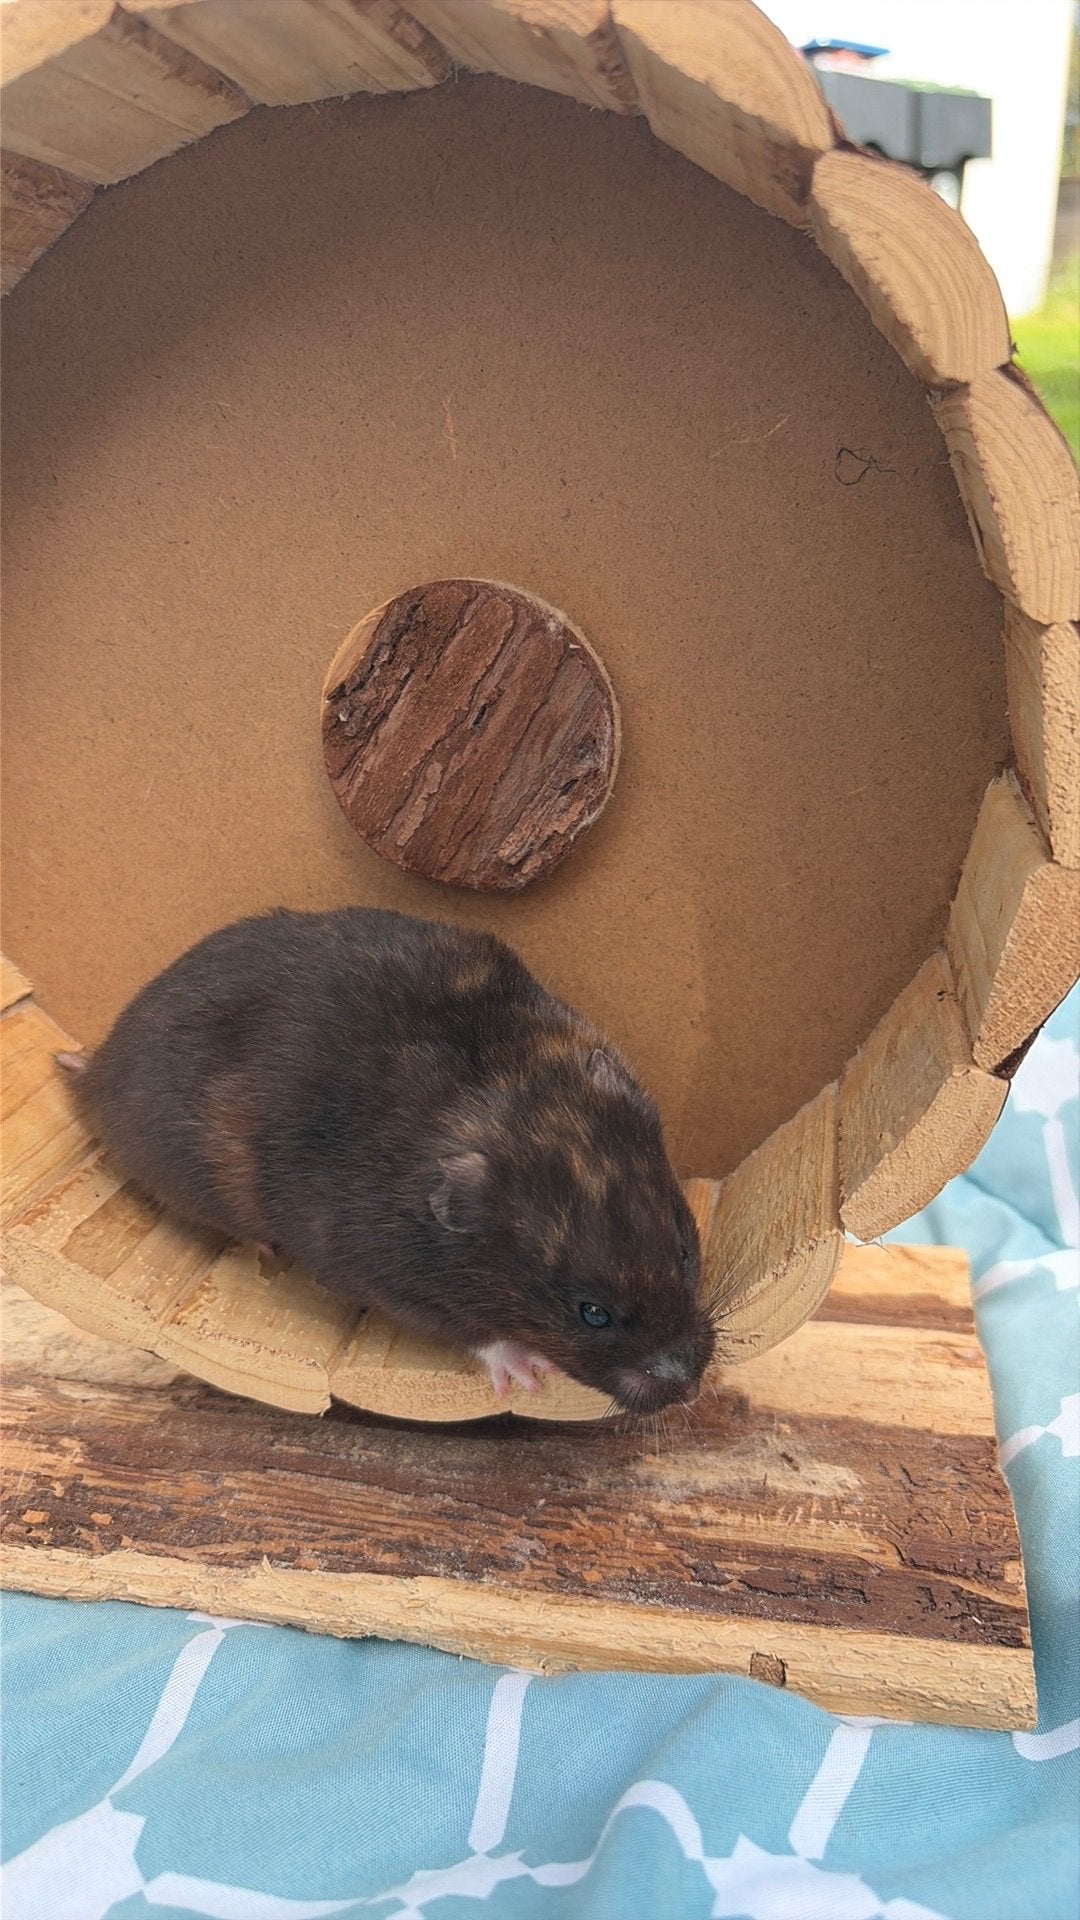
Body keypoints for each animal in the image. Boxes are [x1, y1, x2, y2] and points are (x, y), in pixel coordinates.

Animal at [59, 908, 715, 1413]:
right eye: (592, 1314)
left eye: (685, 1253)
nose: (689, 1389)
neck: (503, 1099)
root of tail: (97, 1072)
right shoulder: (384, 1276)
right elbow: (473, 1330)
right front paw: (527, 1374)